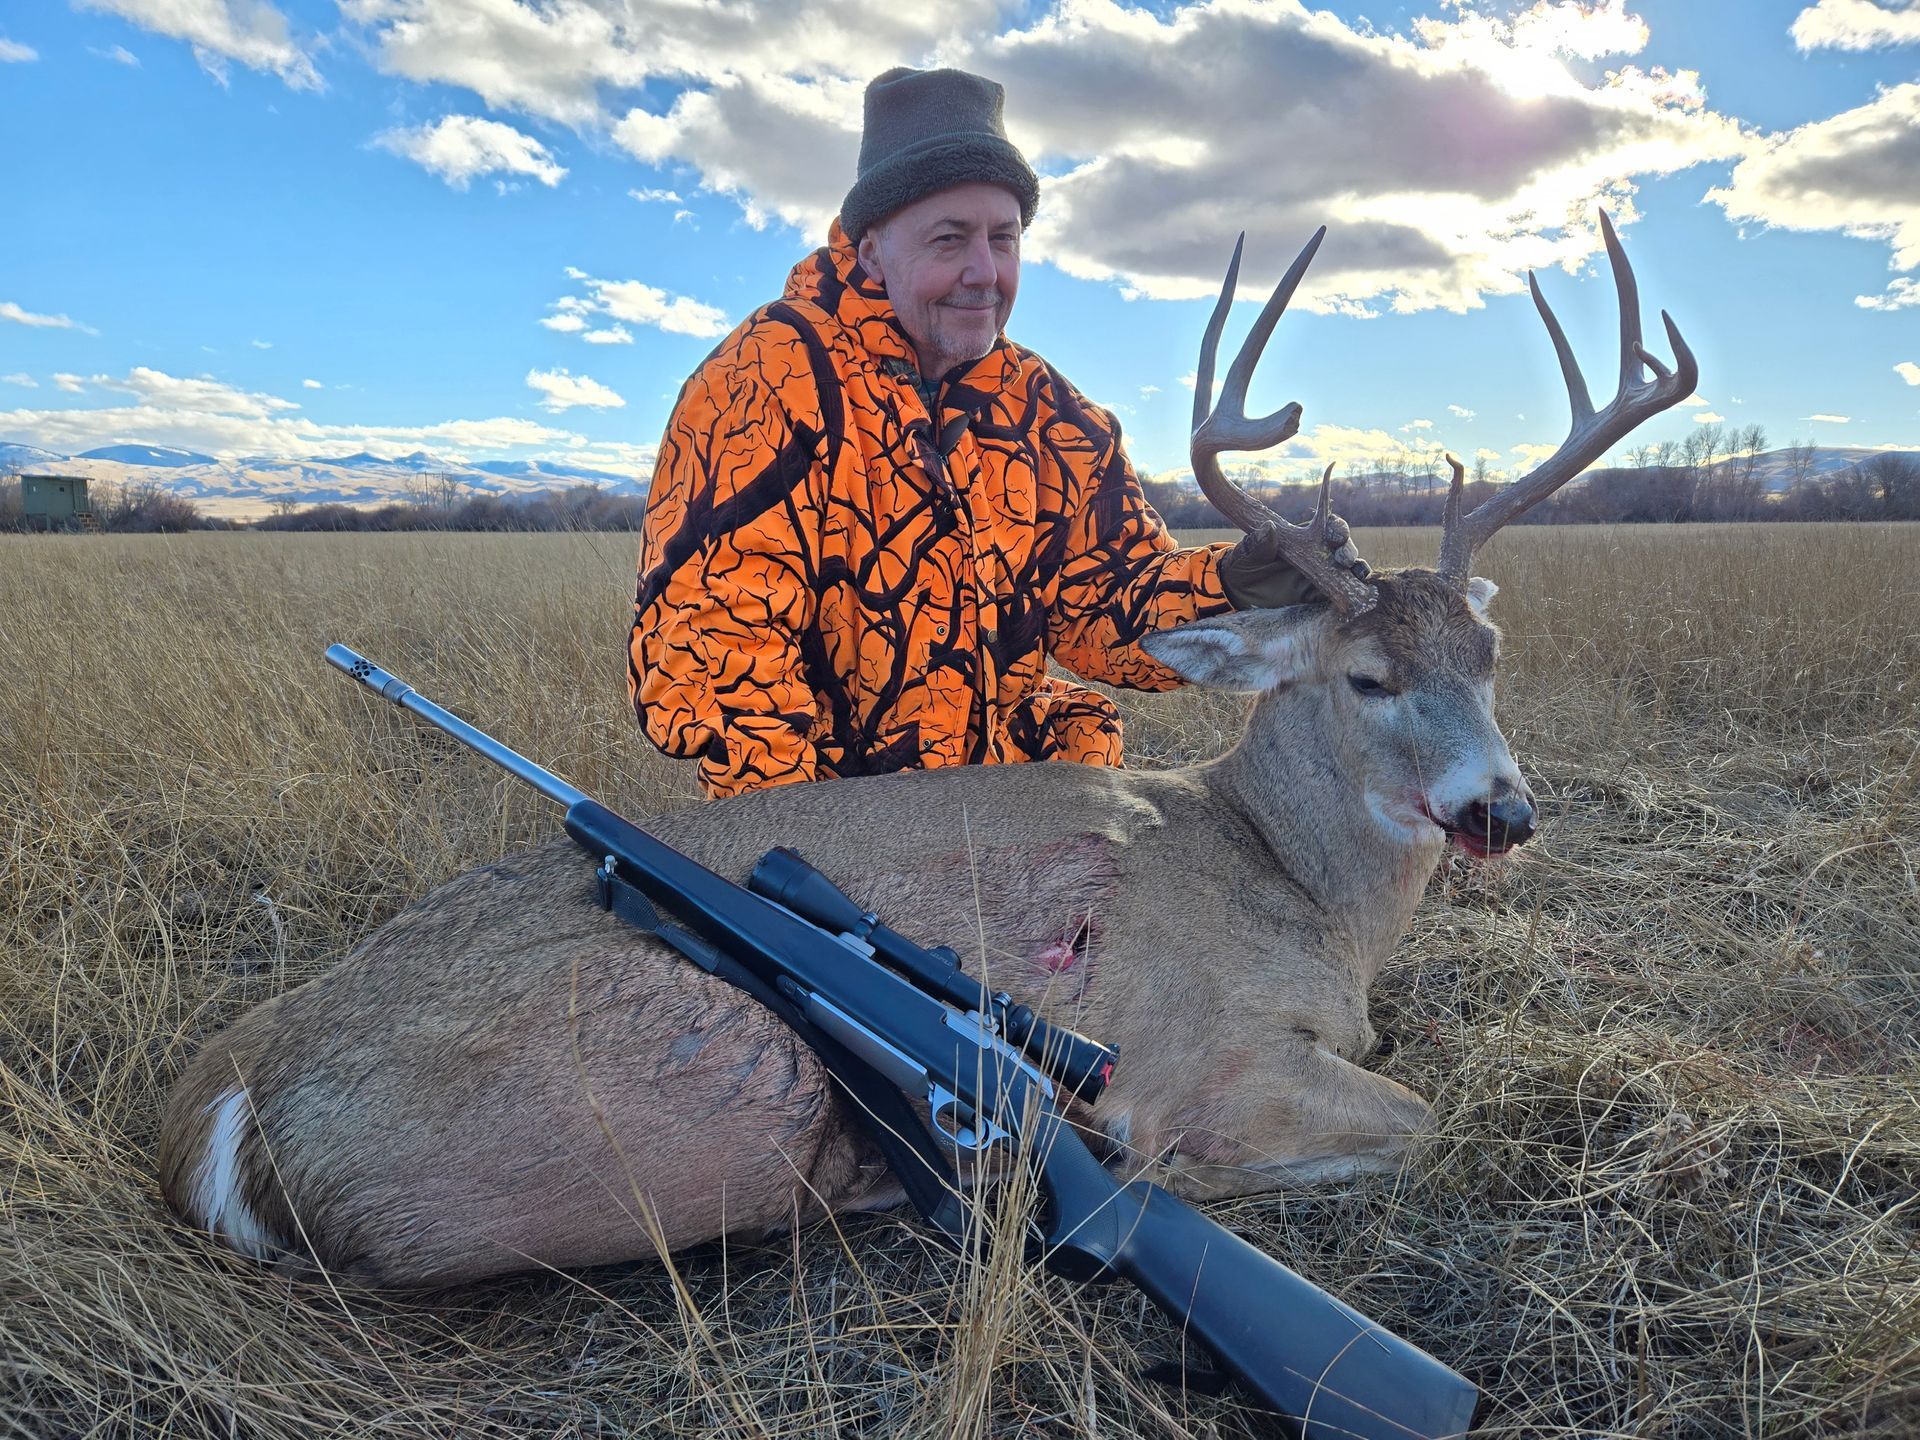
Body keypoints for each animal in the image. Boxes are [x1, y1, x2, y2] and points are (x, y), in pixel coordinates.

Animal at [157, 212, 1695, 1288]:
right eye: (1370, 677)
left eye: (1491, 658)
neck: (1292, 880)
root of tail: (223, 1093)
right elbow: (1418, 1118)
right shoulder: (1202, 1058)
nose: (1502, 810)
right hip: (735, 1076)